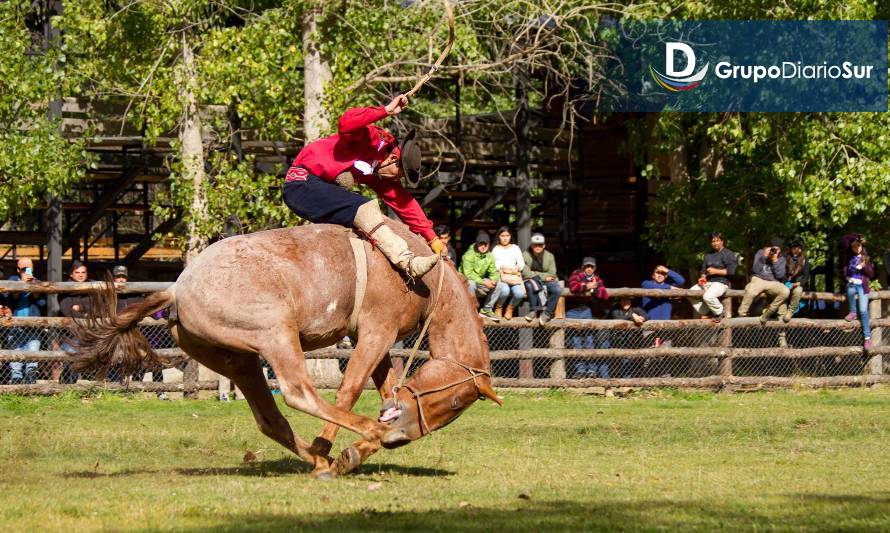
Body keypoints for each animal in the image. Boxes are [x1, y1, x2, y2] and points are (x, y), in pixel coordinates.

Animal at [69, 218, 500, 476]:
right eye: (455, 402)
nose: (403, 439)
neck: (426, 280)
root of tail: (176, 289)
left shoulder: (374, 339)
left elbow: (389, 389)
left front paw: (352, 452)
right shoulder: (377, 331)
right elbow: (349, 390)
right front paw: (361, 441)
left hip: (235, 359)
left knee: (270, 417)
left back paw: (320, 457)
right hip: (276, 333)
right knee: (298, 392)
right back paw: (358, 435)